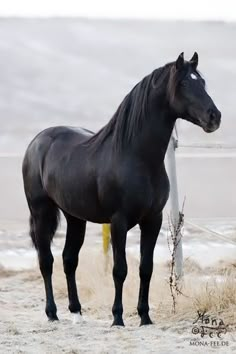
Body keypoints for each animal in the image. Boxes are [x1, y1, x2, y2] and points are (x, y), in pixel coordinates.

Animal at [22, 52, 221, 326]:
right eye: (183, 84)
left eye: (201, 82)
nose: (214, 117)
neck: (136, 156)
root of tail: (37, 141)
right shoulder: (119, 221)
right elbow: (120, 270)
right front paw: (118, 317)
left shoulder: (153, 220)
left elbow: (145, 268)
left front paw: (145, 316)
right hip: (41, 212)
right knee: (46, 261)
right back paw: (52, 313)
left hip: (75, 218)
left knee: (69, 260)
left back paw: (76, 311)